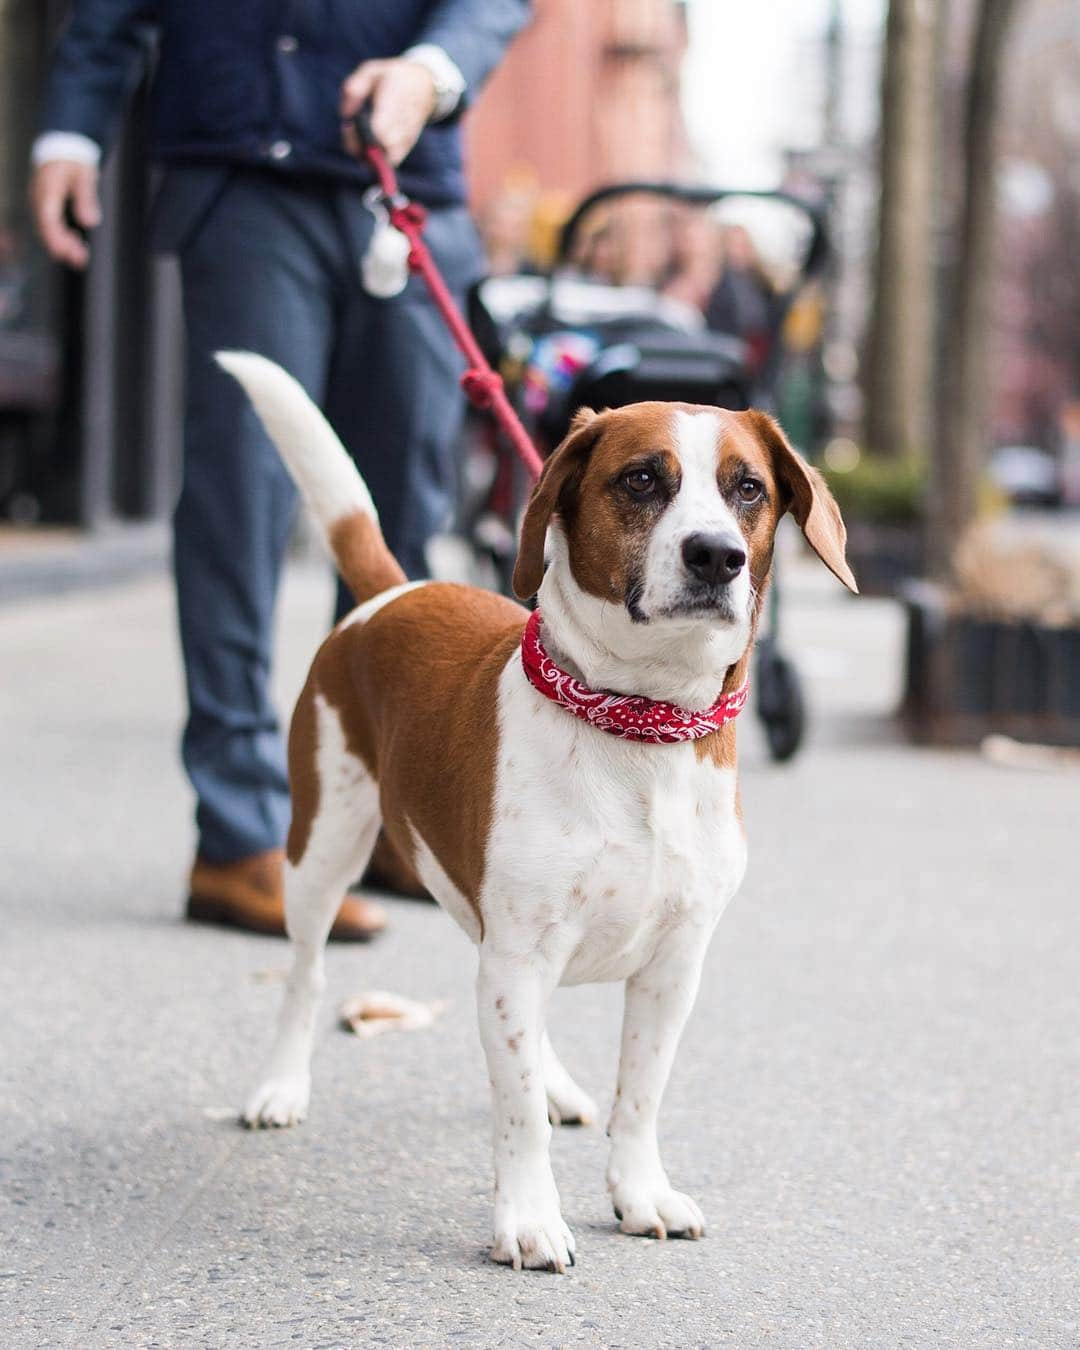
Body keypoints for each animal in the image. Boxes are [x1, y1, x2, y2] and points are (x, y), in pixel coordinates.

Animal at [218, 351, 858, 1274]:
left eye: (748, 489)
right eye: (641, 479)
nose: (717, 556)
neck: (639, 725)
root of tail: (395, 591)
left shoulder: (670, 968)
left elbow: (640, 1096)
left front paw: (638, 1191)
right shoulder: (518, 954)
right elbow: (515, 1111)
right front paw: (526, 1217)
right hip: (321, 852)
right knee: (306, 976)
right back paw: (280, 1085)